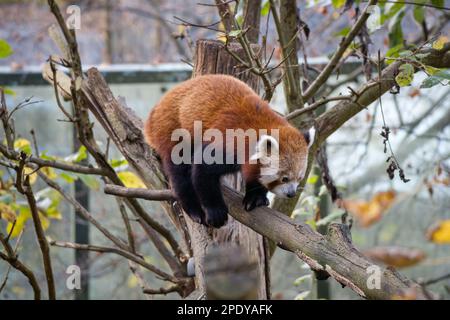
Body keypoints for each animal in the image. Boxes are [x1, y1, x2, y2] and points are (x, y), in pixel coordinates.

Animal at [144, 75, 312, 229]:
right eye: (284, 178)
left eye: (300, 178)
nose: (291, 193)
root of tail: (157, 107)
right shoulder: (226, 143)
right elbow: (202, 173)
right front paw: (215, 212)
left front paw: (255, 197)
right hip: (172, 130)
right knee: (180, 174)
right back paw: (194, 210)